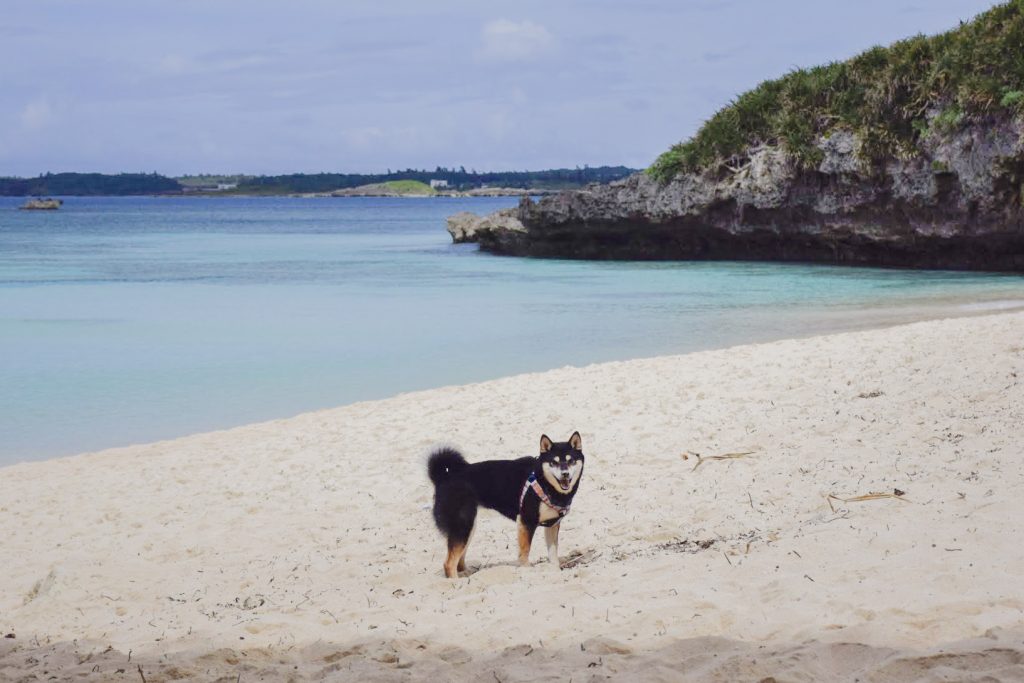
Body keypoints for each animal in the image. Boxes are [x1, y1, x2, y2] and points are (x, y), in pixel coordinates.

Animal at [425, 432, 585, 577]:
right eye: (554, 462)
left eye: (571, 461)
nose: (565, 474)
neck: (543, 482)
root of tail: (443, 478)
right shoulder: (526, 521)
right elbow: (524, 551)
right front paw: (527, 570)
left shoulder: (552, 524)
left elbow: (553, 554)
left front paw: (555, 570)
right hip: (462, 526)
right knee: (448, 564)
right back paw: (456, 582)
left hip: (469, 527)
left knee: (459, 558)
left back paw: (466, 573)